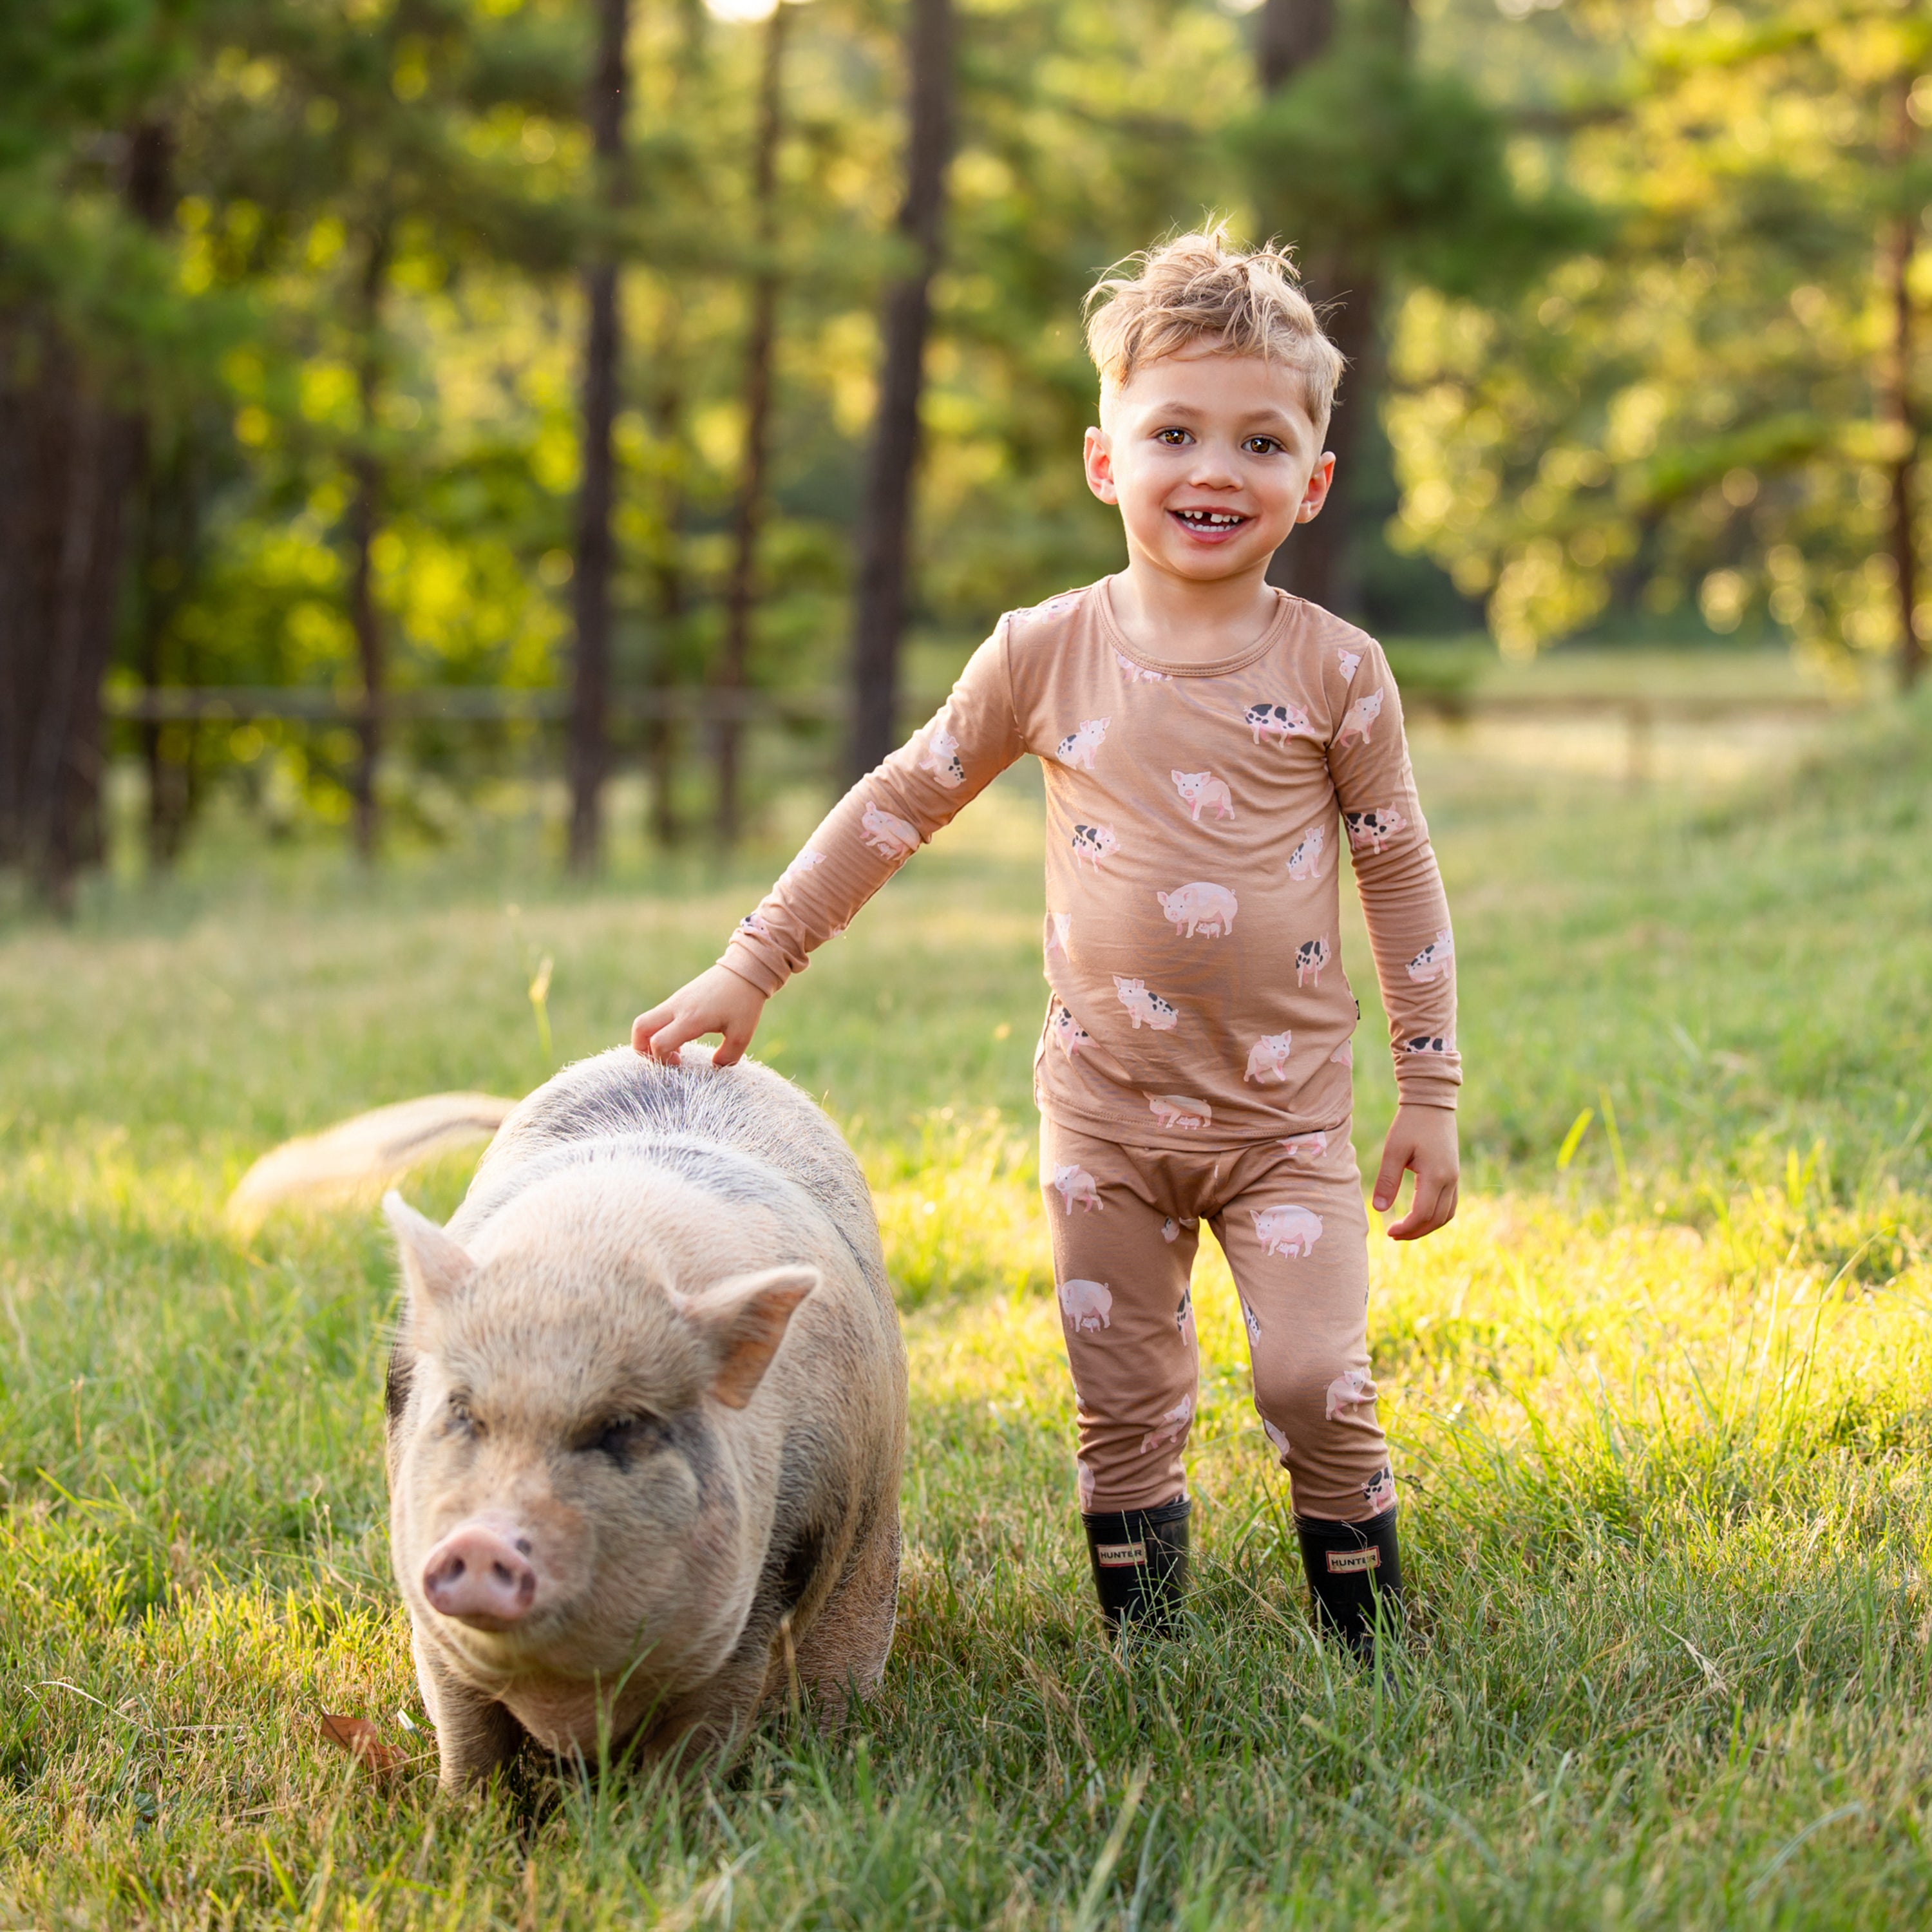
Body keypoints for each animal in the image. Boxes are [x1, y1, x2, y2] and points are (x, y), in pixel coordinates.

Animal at [373, 1045, 906, 1789]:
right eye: (461, 1412)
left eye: (621, 1428)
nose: (482, 1541)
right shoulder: (430, 1618)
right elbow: (468, 1741)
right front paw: (458, 1811)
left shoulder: (754, 1604)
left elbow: (694, 1746)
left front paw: (666, 1815)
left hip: (871, 1541)